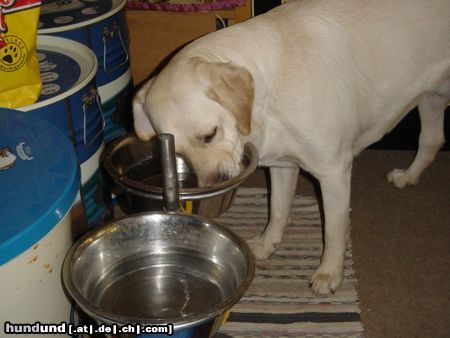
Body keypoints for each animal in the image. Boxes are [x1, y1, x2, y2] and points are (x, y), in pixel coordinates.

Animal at [132, 0, 450, 294]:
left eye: (209, 134)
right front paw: (267, 242)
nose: (215, 183)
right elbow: (278, 208)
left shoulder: (334, 172)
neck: (268, 89)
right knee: (431, 141)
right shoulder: (282, 164)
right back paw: (408, 176)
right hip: (431, 98)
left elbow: (334, 231)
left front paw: (329, 274)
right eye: (179, 153)